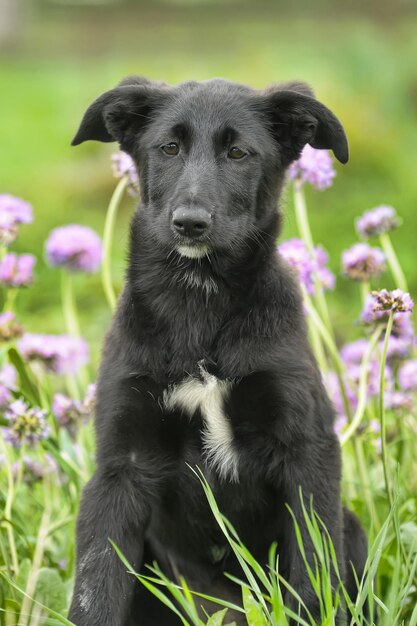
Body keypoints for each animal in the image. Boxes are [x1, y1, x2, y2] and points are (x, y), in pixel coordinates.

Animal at [69, 75, 368, 620]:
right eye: (168, 147)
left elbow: (313, 576)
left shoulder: (307, 452)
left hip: (350, 525)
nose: (190, 223)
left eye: (238, 152)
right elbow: (95, 587)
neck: (199, 302)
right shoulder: (121, 467)